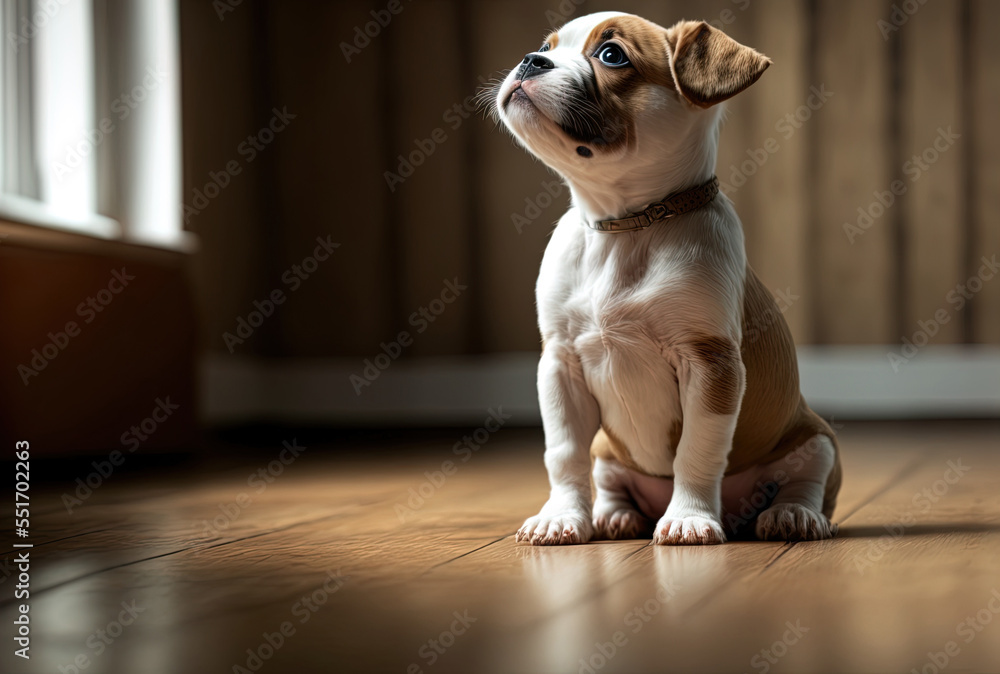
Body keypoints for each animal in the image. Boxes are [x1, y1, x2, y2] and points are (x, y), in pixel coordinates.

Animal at [492, 11, 844, 544]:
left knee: (806, 482)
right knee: (607, 477)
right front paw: (561, 516)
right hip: (607, 450)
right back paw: (616, 515)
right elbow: (564, 453)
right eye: (546, 47)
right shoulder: (560, 365)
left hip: (816, 440)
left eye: (612, 55)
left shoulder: (710, 363)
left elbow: (696, 450)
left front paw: (689, 517)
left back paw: (791, 515)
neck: (625, 226)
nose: (531, 60)